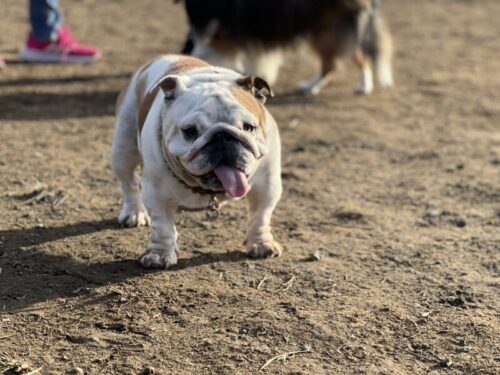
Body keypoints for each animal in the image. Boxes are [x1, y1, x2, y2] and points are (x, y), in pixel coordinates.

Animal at [112, 54, 282, 268]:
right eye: (190, 131)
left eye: (249, 127)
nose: (222, 136)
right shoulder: (157, 193)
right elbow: (163, 226)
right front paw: (159, 255)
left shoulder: (267, 186)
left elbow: (260, 216)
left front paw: (261, 244)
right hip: (123, 149)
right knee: (128, 183)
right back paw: (134, 213)